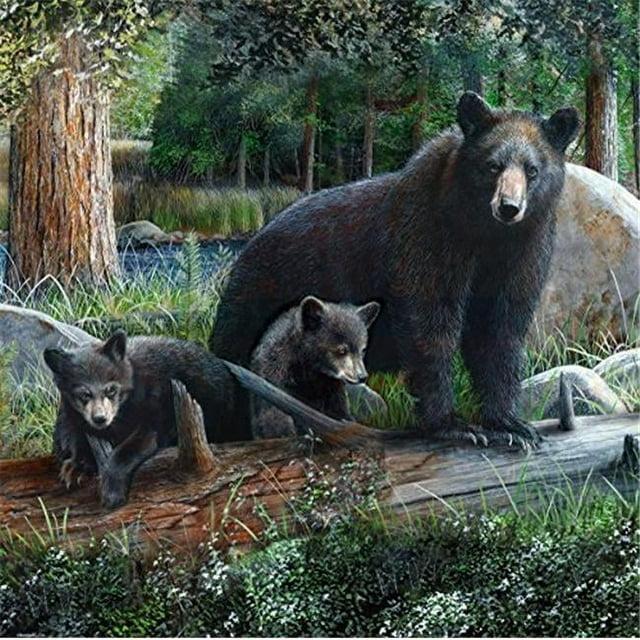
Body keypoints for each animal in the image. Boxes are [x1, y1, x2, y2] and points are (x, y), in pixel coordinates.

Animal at [210, 92, 580, 448]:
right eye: (493, 166)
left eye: (532, 170)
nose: (509, 207)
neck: (484, 234)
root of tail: (250, 244)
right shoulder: (427, 236)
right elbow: (429, 325)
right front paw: (455, 425)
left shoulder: (522, 253)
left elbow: (499, 328)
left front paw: (510, 424)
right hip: (257, 299)